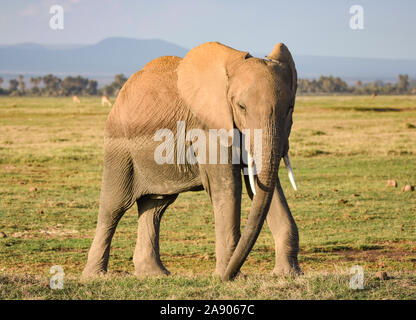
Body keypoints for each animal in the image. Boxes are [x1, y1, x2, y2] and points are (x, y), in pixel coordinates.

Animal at [82, 40, 302, 280]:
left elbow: (265, 186)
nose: (231, 274)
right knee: (113, 207)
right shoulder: (207, 127)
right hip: (119, 148)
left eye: (290, 109)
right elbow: (228, 187)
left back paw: (154, 274)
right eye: (241, 107)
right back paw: (95, 276)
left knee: (155, 206)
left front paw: (289, 274)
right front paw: (229, 277)